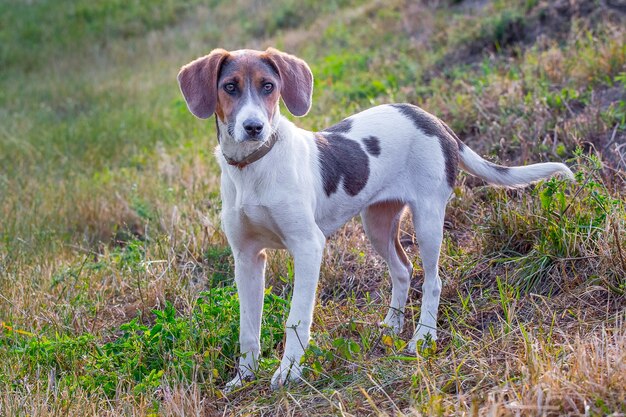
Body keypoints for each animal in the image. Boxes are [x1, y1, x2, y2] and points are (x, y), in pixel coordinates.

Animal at [176, 47, 572, 388]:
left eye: (268, 86)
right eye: (230, 87)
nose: (254, 127)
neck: (253, 166)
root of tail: (432, 119)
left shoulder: (307, 247)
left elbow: (296, 319)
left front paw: (289, 372)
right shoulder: (246, 258)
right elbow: (247, 328)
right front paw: (244, 377)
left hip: (428, 218)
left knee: (433, 280)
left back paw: (423, 337)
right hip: (377, 225)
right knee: (403, 269)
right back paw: (392, 326)